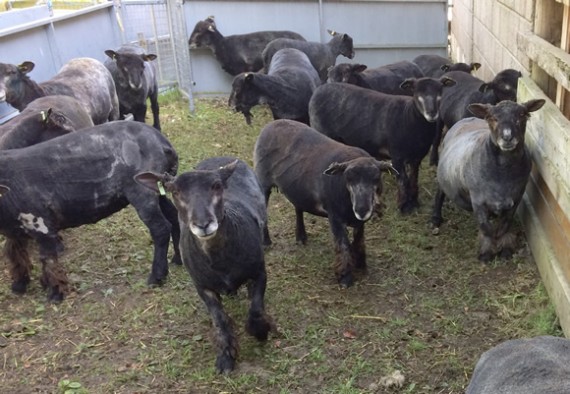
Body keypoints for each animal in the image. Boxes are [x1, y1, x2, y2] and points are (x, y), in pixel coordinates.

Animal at [135, 156, 272, 372]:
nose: (203, 224)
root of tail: (219, 158)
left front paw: (260, 331)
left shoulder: (258, 272)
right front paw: (226, 357)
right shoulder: (202, 287)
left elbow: (256, 309)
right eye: (175, 191)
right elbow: (220, 320)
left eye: (217, 186)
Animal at [430, 100, 544, 262]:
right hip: (443, 176)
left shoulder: (516, 198)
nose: (507, 137)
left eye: (522, 115)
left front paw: (505, 249)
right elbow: (486, 228)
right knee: (440, 193)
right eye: (491, 117)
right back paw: (436, 218)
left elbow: (505, 225)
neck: (503, 174)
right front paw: (487, 252)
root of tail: (468, 118)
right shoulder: (478, 201)